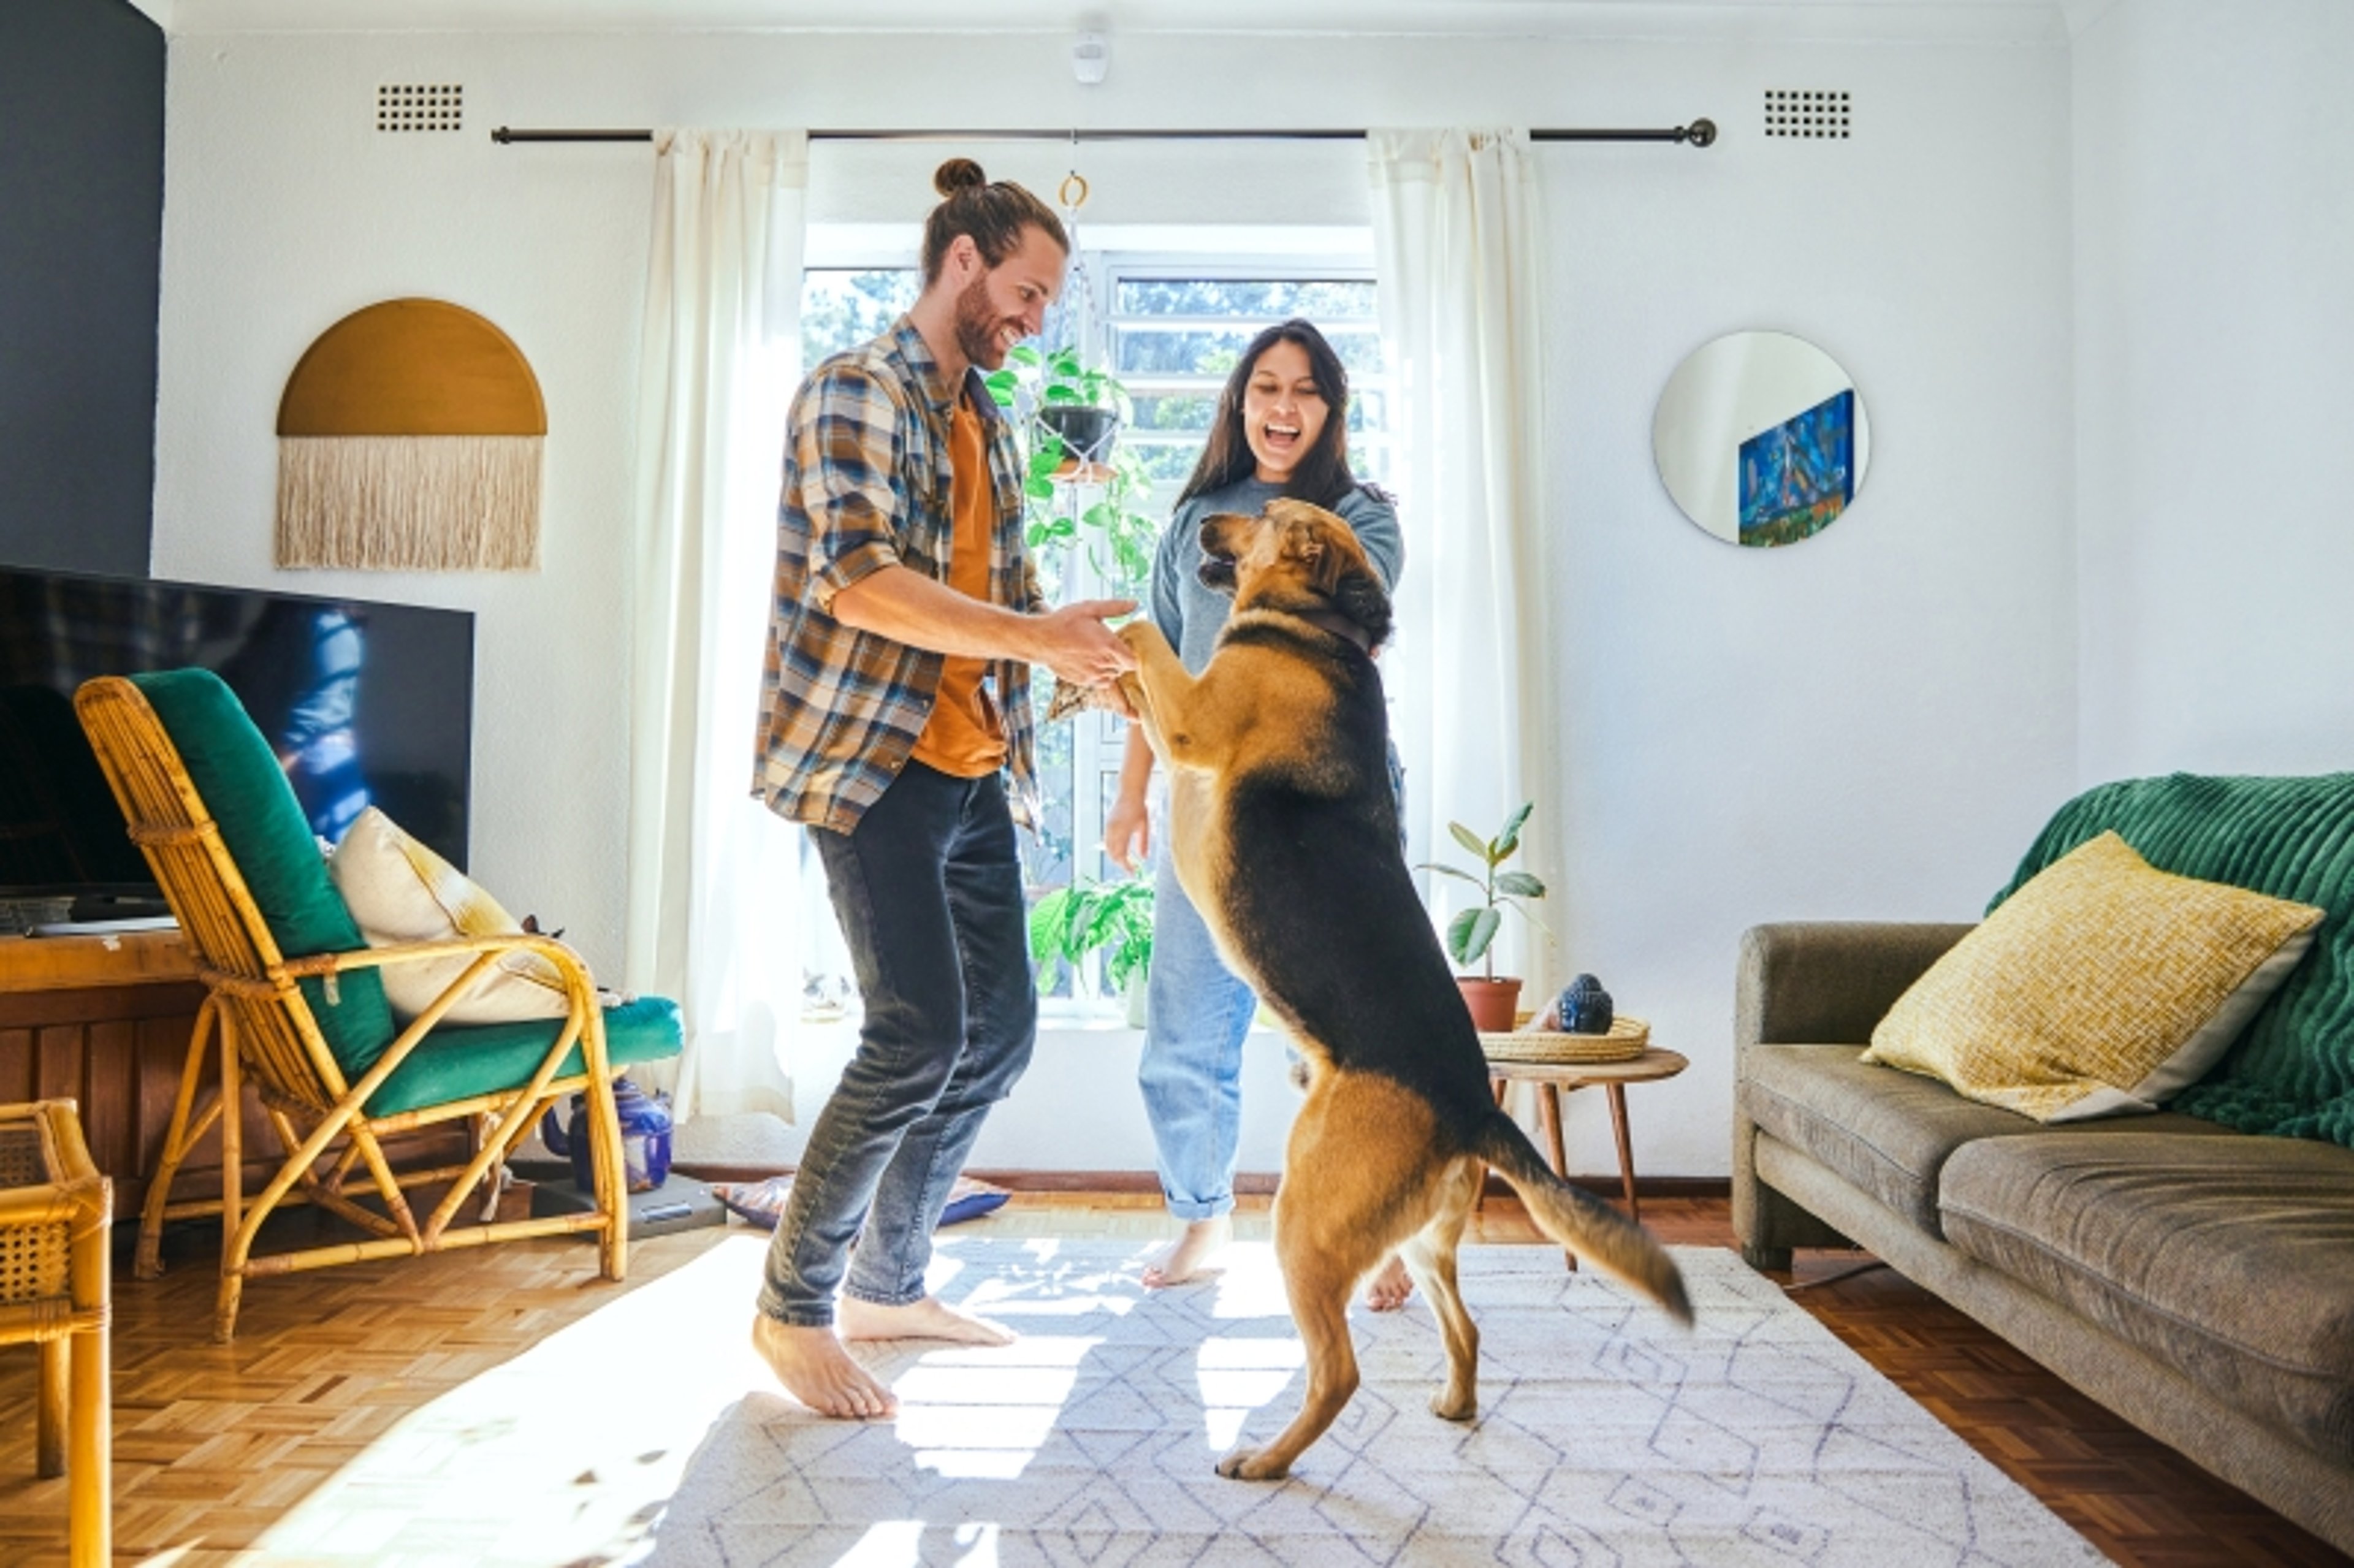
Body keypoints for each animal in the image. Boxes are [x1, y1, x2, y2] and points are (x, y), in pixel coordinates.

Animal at [1116, 494, 1694, 1469]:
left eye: (1263, 511)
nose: (1195, 522)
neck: (1322, 627)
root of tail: (1472, 1105)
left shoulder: (1193, 715)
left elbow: (1140, 638)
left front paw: (1103, 617)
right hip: (1424, 1240)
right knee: (1466, 1326)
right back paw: (1454, 1406)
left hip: (1306, 1222)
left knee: (1338, 1372)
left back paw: (1265, 1460)